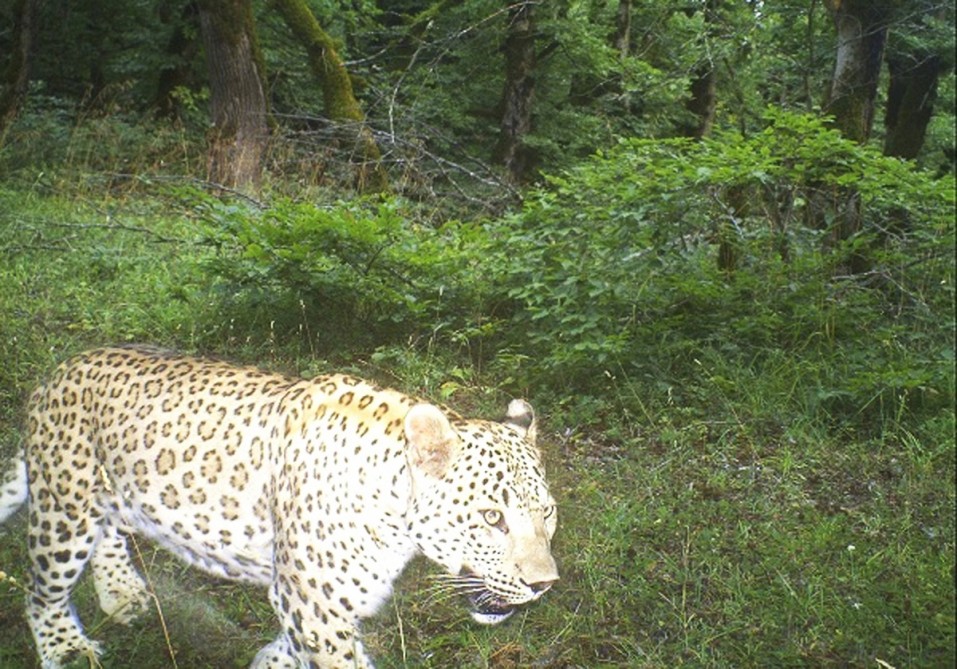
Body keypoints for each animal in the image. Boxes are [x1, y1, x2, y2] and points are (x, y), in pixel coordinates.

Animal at [0, 348, 556, 664]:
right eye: (491, 517)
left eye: (547, 514)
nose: (544, 584)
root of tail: (58, 372)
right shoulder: (315, 604)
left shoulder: (316, 603)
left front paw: (268, 660)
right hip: (65, 506)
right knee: (41, 588)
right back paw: (66, 648)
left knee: (109, 531)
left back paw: (122, 593)